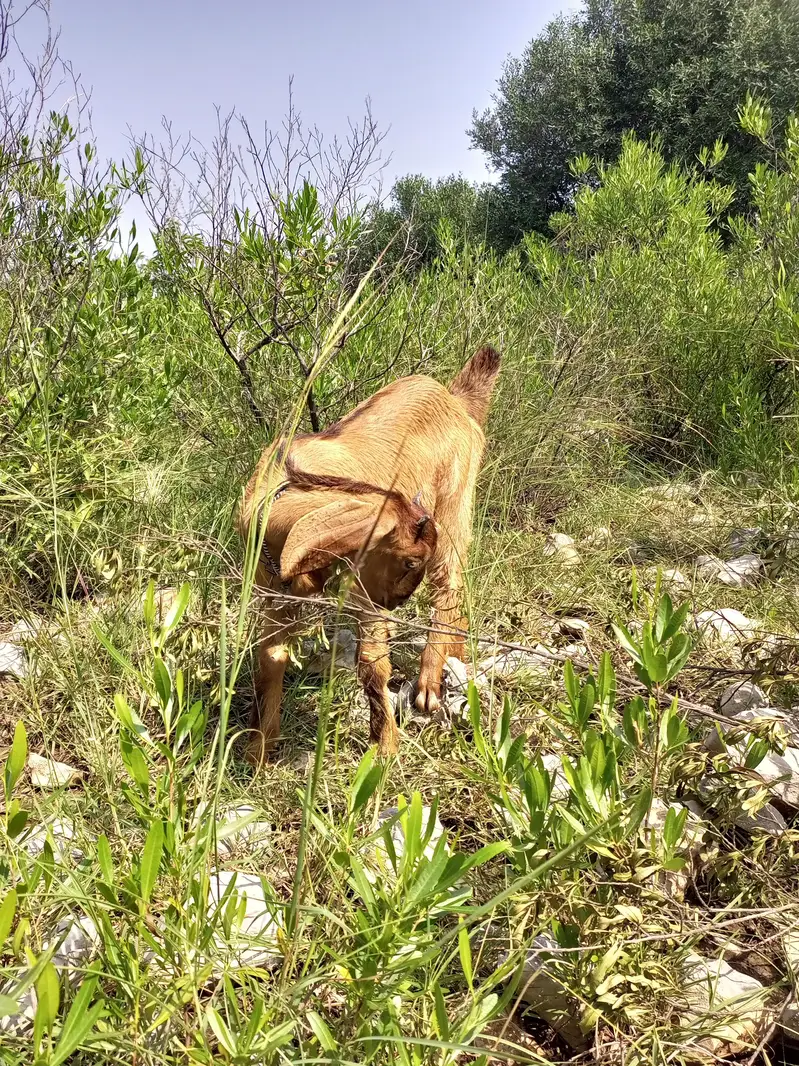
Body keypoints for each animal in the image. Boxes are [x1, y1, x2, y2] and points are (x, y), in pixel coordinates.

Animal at [237, 345, 501, 763]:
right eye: (409, 560)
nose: (395, 603)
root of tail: (454, 399)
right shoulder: (272, 588)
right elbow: (271, 657)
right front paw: (258, 748)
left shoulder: (360, 586)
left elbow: (372, 664)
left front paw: (385, 748)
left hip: (455, 503)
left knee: (451, 583)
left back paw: (429, 682)